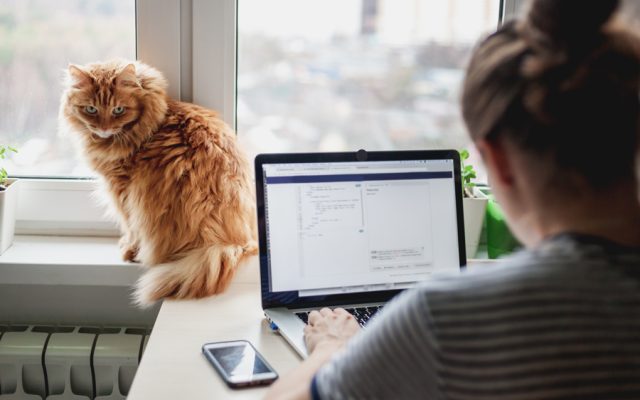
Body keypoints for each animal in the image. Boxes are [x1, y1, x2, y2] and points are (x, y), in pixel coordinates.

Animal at [59, 59, 258, 306]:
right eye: (91, 109)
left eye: (118, 110)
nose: (104, 128)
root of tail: (235, 242)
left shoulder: (122, 190)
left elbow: (129, 226)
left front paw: (128, 249)